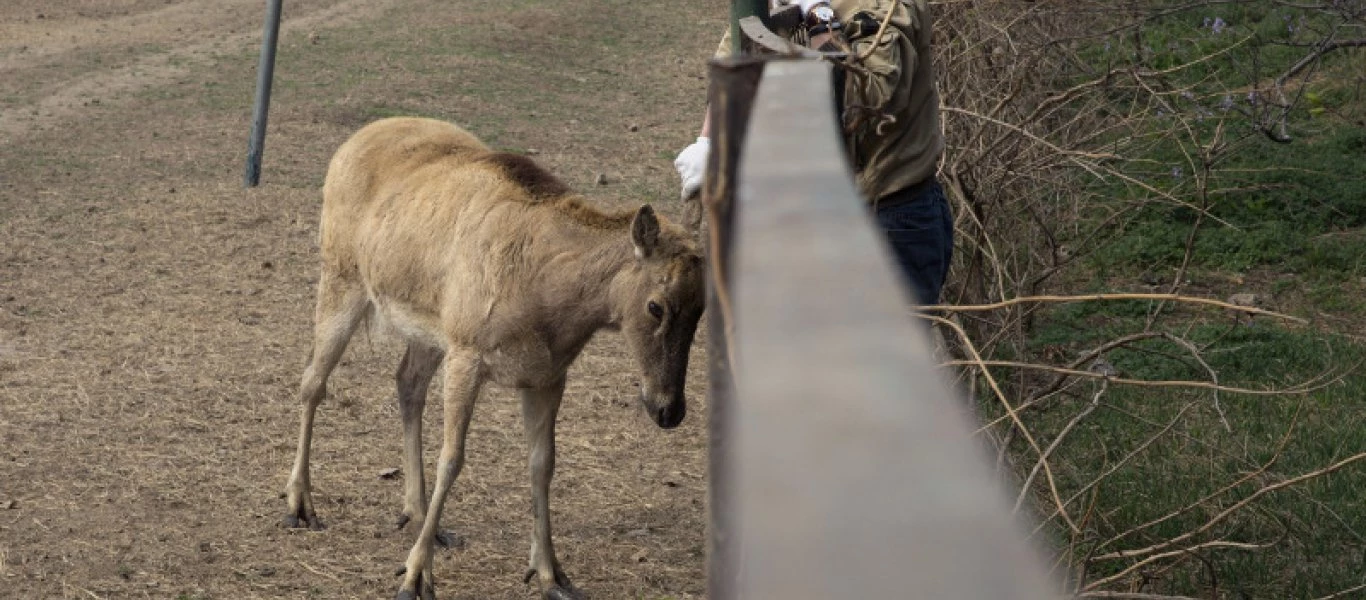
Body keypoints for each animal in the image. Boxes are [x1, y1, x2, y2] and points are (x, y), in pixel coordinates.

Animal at [278, 114, 704, 598]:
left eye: (703, 308)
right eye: (656, 306)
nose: (668, 409)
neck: (549, 304)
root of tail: (348, 146)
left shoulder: (547, 375)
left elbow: (543, 463)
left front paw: (550, 573)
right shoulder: (467, 352)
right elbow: (452, 458)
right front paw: (414, 576)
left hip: (429, 328)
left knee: (406, 383)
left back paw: (419, 516)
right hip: (341, 276)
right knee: (313, 380)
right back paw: (300, 503)